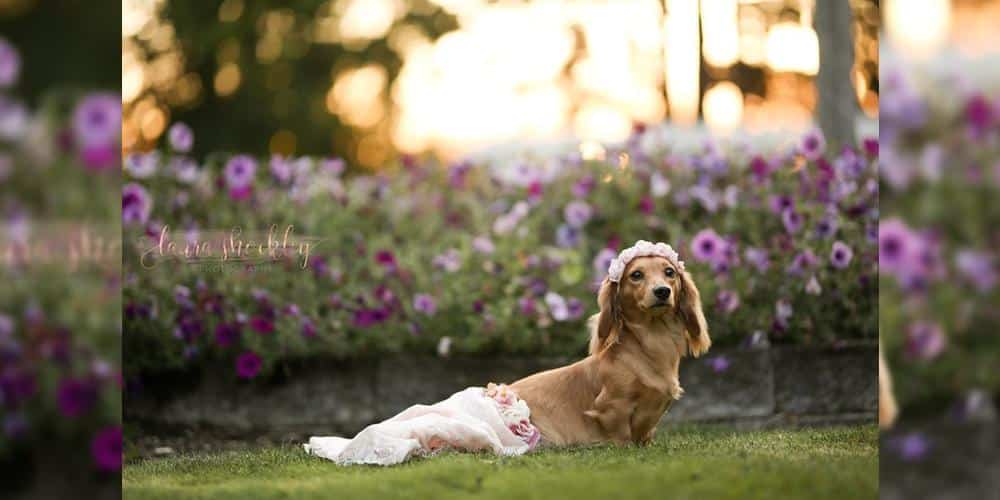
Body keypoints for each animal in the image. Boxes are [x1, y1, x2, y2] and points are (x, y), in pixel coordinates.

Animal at [512, 250, 708, 446]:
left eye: (669, 272)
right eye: (636, 274)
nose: (662, 291)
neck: (653, 341)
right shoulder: (612, 405)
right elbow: (622, 435)